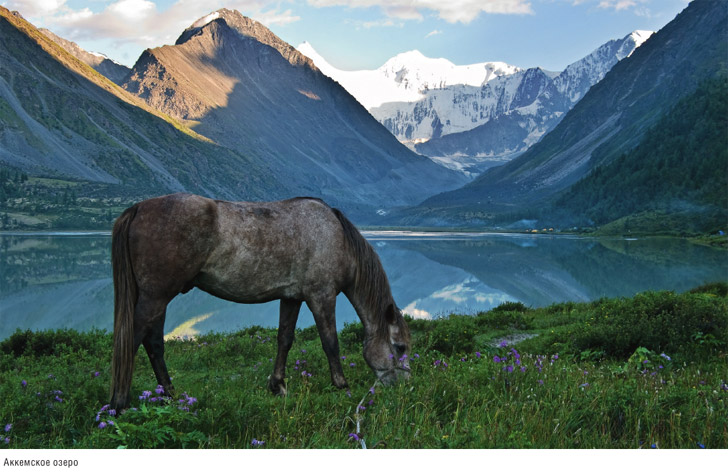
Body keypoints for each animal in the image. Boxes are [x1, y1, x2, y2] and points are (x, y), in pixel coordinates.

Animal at [111, 193, 412, 410]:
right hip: (156, 296)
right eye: (399, 347)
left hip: (157, 298)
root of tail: (138, 208)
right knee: (133, 339)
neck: (337, 238)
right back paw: (119, 403)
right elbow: (330, 342)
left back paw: (170, 395)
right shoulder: (321, 296)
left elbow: (285, 339)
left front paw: (277, 385)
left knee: (153, 344)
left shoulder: (291, 298)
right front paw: (341, 385)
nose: (404, 385)